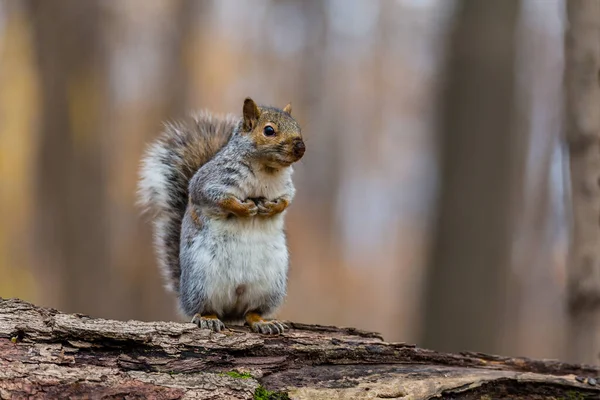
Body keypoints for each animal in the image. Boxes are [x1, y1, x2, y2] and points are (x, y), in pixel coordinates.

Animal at [137, 97, 304, 334]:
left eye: (298, 126)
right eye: (269, 130)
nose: (301, 147)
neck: (267, 169)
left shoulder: (286, 188)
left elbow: (286, 200)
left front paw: (270, 208)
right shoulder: (209, 181)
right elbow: (217, 198)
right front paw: (245, 209)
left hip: (270, 286)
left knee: (251, 311)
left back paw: (261, 321)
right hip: (201, 282)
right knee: (205, 308)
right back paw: (208, 318)